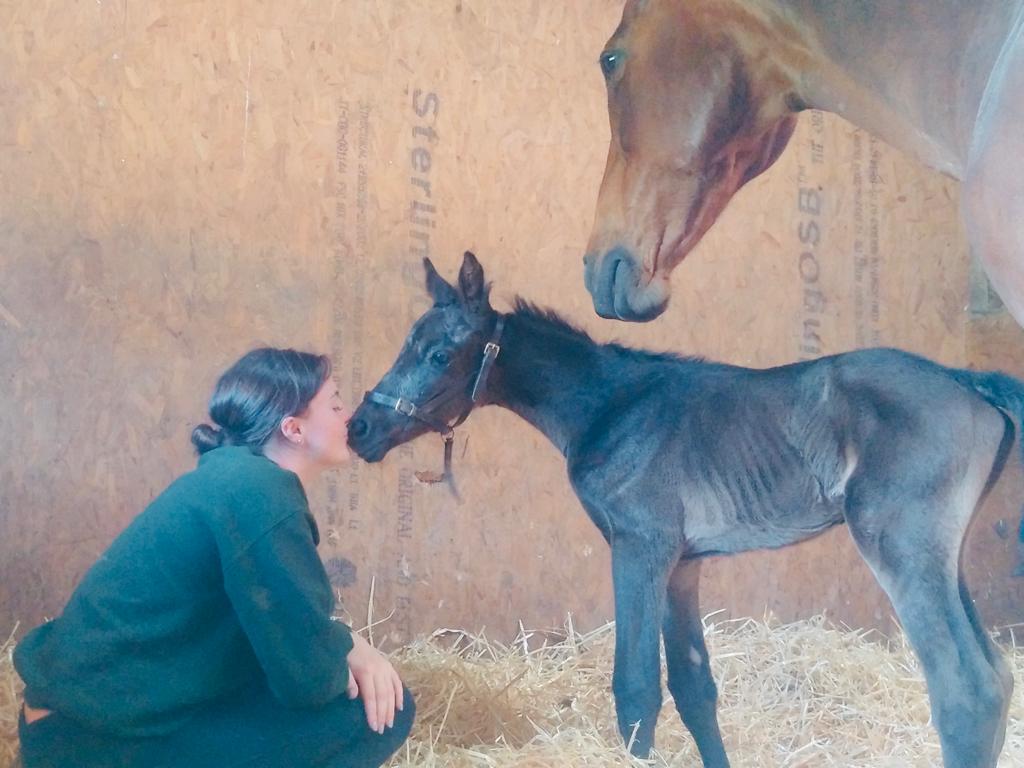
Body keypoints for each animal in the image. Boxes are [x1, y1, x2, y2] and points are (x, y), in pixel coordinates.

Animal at [348, 251, 1023, 768]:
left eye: (439, 355)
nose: (359, 429)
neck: (612, 407)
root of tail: (970, 381)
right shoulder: (683, 565)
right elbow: (694, 688)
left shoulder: (639, 547)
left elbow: (636, 691)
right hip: (943, 555)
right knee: (996, 676)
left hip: (900, 544)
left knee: (965, 686)